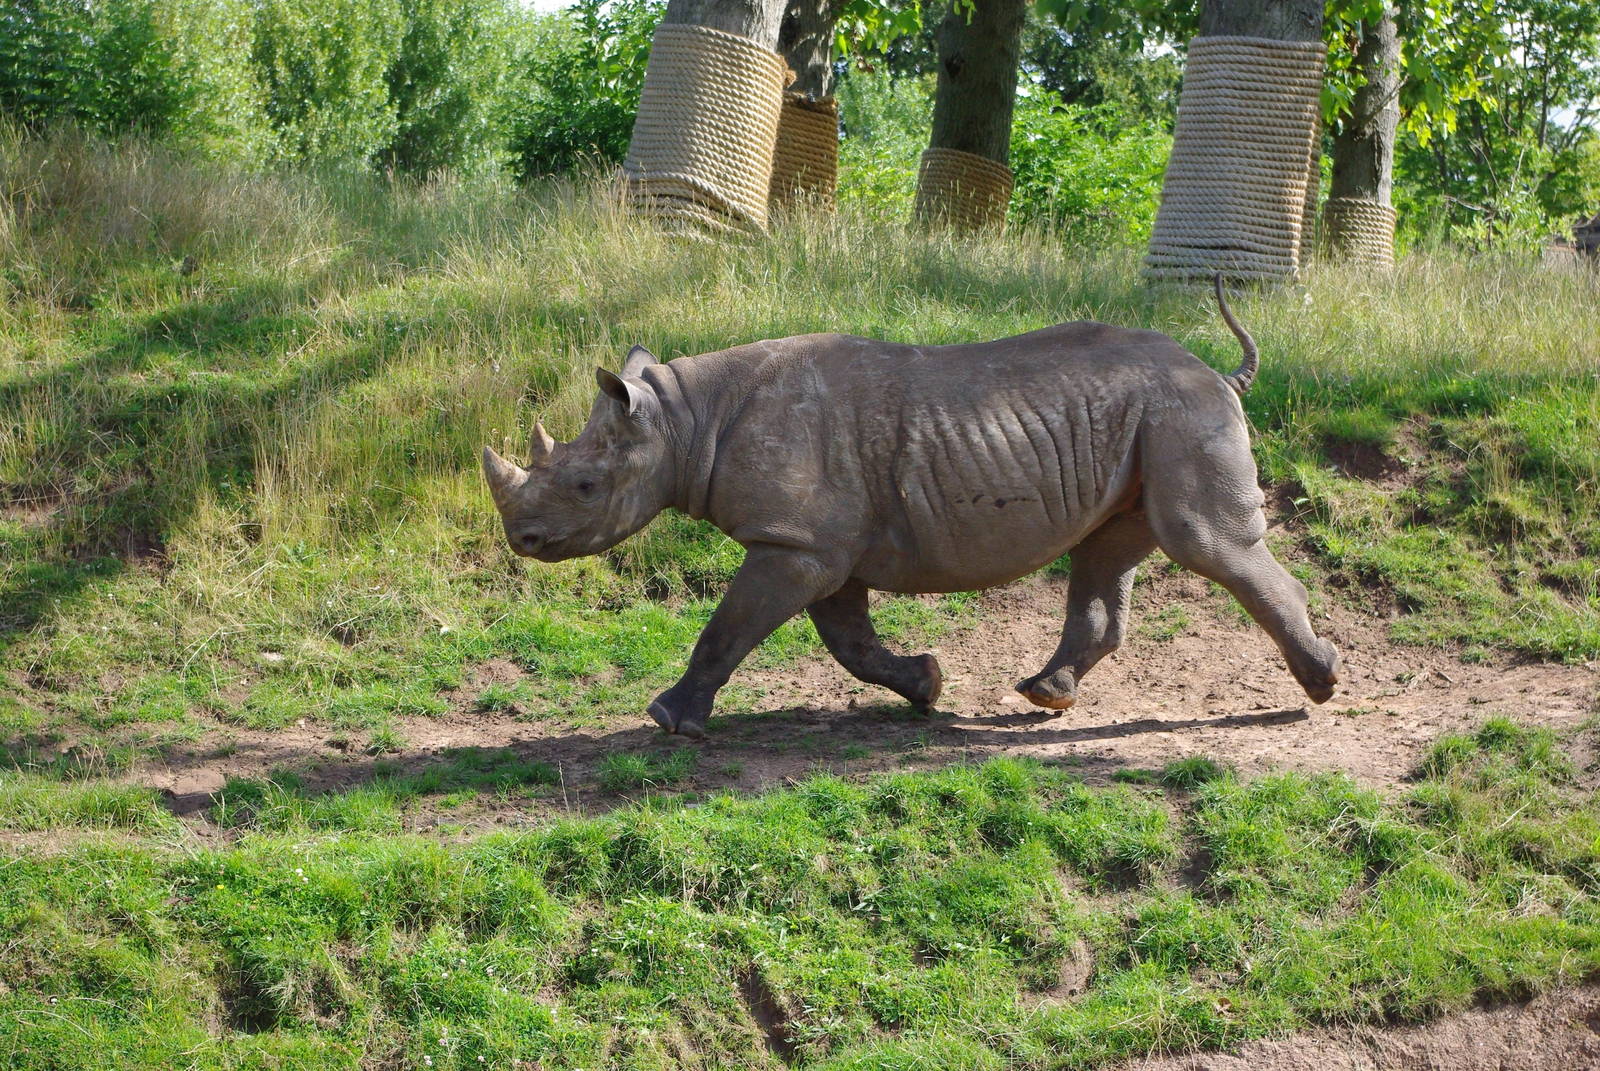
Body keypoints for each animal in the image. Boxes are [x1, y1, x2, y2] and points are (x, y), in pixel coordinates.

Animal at [483, 280, 1342, 738]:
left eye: (585, 487)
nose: (521, 537)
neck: (683, 420)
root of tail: (1220, 374)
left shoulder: (796, 542)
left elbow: (729, 627)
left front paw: (668, 720)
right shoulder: (820, 544)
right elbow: (848, 640)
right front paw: (926, 684)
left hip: (1182, 415)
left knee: (1202, 543)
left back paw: (1323, 683)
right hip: (1151, 421)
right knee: (1105, 548)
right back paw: (1044, 693)